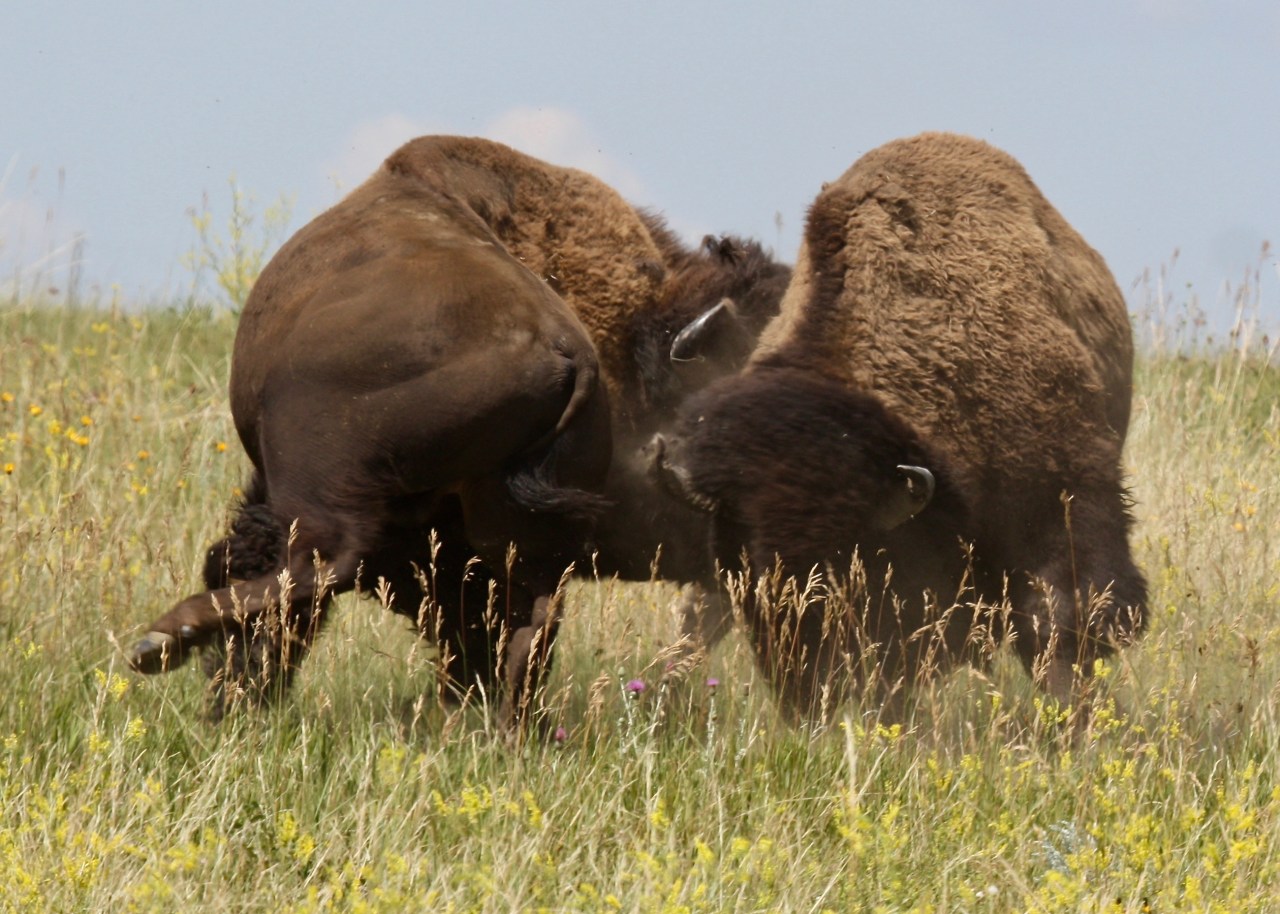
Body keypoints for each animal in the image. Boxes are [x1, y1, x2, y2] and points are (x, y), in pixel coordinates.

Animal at [652, 132, 1147, 722]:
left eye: (842, 570)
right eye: (745, 570)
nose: (803, 692)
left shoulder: (1063, 498)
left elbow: (1060, 624)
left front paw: (1075, 721)